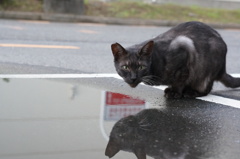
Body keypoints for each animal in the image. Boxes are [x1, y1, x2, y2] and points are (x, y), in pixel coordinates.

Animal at [111, 21, 240, 98]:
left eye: (141, 67)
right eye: (125, 67)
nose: (133, 78)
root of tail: (223, 68)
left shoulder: (184, 48)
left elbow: (179, 80)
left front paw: (175, 92)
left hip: (207, 68)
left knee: (205, 88)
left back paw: (191, 92)